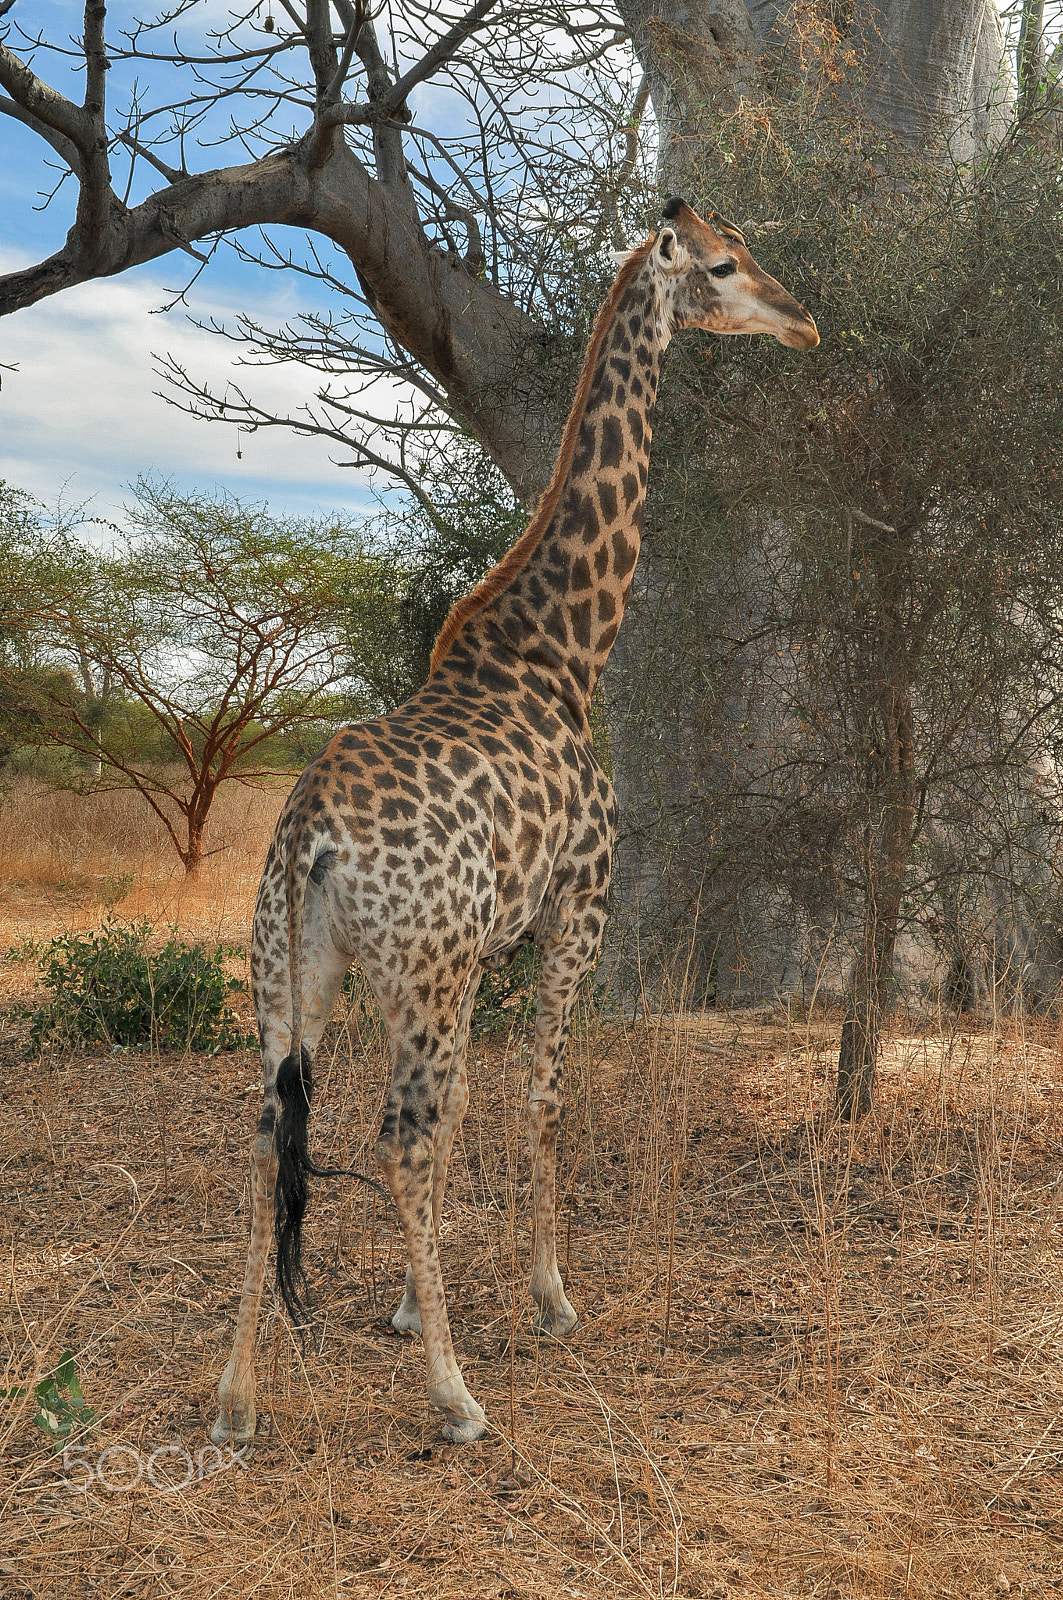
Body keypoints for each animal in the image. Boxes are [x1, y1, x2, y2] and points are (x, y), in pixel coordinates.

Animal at [208, 200, 816, 1452]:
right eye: (724, 264)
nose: (805, 322)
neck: (561, 653)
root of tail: (307, 832)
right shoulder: (577, 911)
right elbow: (541, 1097)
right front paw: (548, 1297)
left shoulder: (485, 947)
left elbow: (470, 1114)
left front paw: (406, 1304)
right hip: (418, 967)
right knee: (395, 1137)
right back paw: (454, 1398)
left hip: (299, 968)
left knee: (268, 1128)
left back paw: (238, 1398)